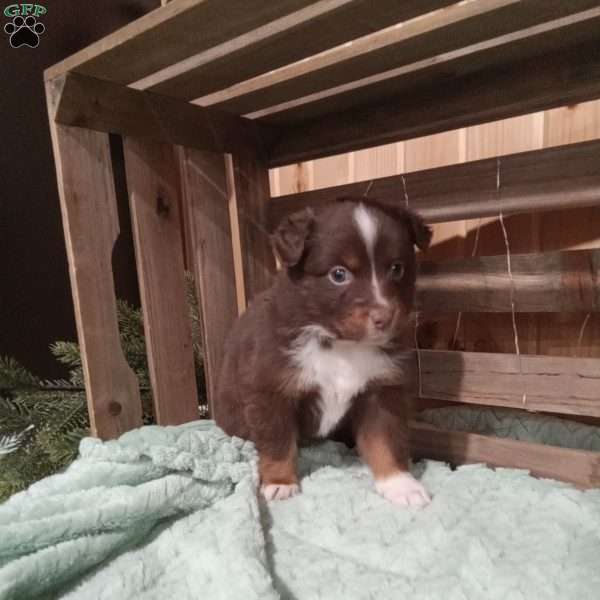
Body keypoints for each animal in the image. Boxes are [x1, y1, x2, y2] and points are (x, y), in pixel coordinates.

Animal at [216, 196, 432, 506]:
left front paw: (400, 484)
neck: (342, 346)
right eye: (338, 274)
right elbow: (278, 440)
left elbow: (385, 439)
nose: (385, 317)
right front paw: (280, 482)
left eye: (397, 269)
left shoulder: (381, 390)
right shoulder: (270, 389)